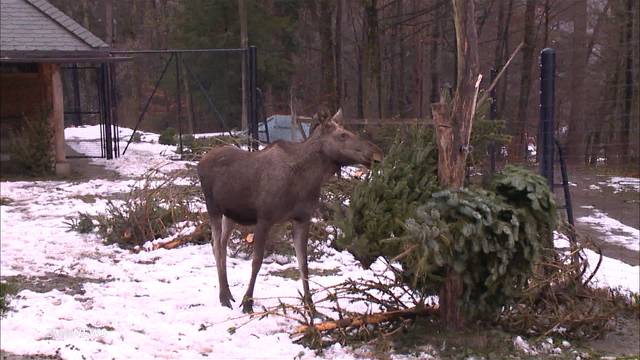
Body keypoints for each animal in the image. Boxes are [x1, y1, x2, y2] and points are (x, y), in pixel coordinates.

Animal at [198, 109, 382, 312]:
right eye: (342, 135)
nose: (377, 154)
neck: (307, 179)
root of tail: (200, 162)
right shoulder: (264, 218)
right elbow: (257, 262)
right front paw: (247, 303)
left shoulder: (302, 218)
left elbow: (304, 264)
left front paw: (311, 307)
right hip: (213, 208)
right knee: (217, 247)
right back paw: (224, 297)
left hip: (230, 214)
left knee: (221, 245)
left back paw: (228, 294)